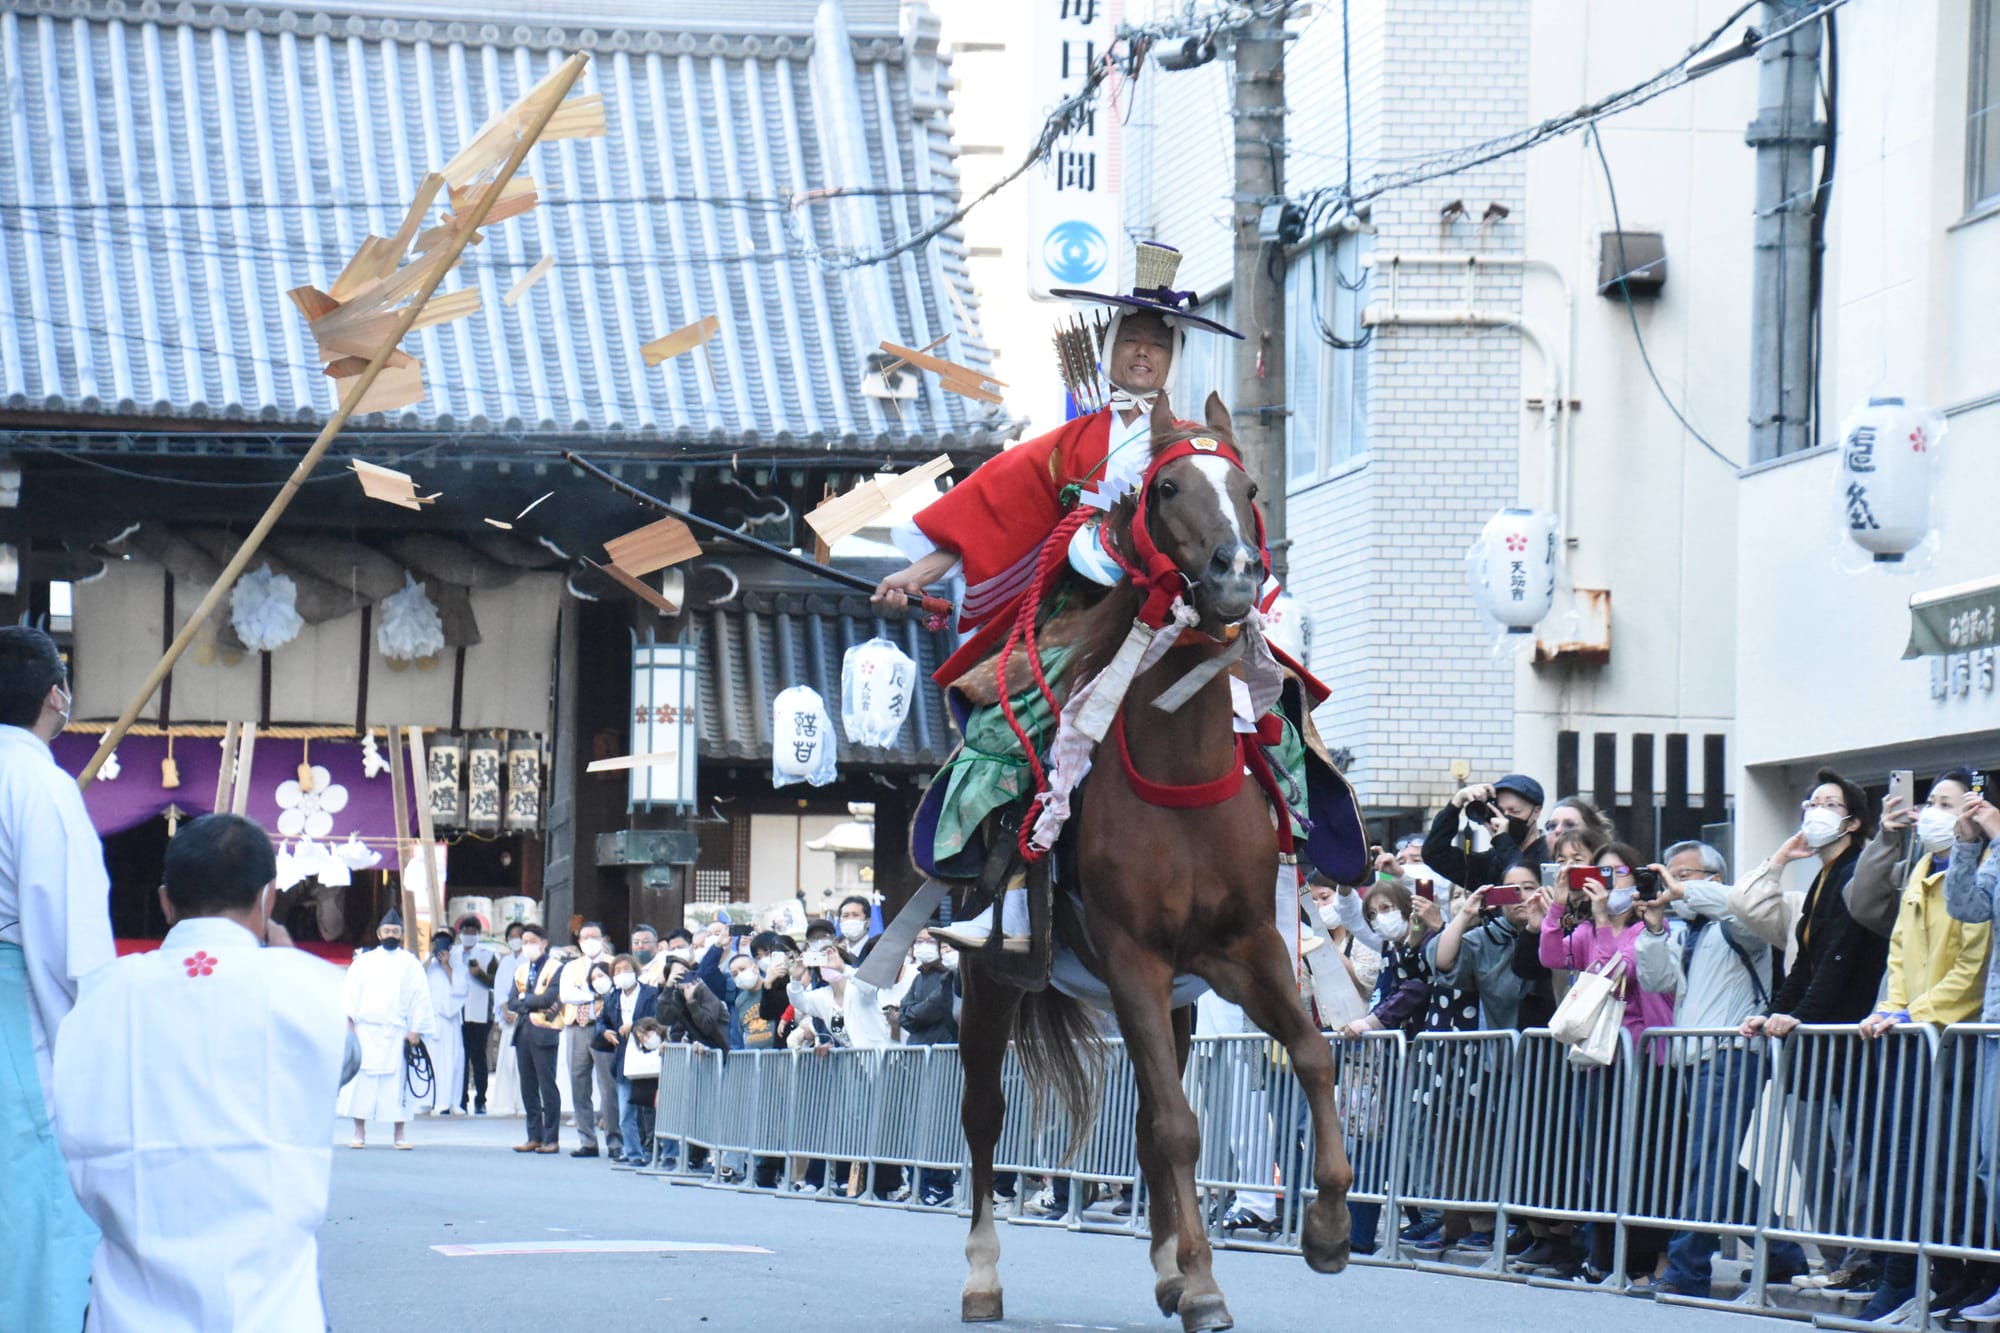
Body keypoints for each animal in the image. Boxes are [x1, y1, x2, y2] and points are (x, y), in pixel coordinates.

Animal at [952, 390, 1360, 1328]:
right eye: (1167, 487)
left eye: (1249, 488)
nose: (1237, 572)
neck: (1182, 774)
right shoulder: (1132, 952)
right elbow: (1178, 1123)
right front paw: (1208, 1283)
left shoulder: (1245, 946)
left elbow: (1311, 1057)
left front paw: (1325, 1228)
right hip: (992, 974)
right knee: (985, 1112)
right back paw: (985, 1274)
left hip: (1178, 1000)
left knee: (1145, 1114)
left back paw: (1170, 1263)